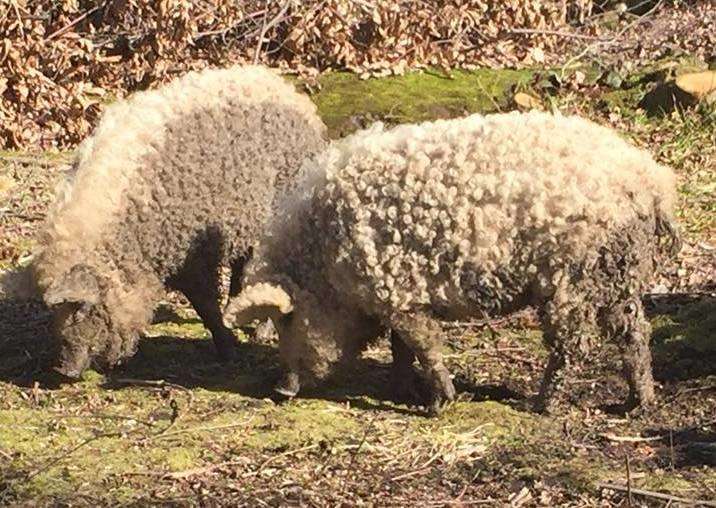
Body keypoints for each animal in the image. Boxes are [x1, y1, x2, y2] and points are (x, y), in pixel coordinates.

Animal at [21, 64, 326, 378]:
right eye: (54, 313)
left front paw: (230, 352)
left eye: (82, 308)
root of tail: (287, 91)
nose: (62, 370)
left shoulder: (194, 250)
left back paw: (261, 334)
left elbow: (205, 304)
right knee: (243, 266)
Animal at [227, 111, 680, 412]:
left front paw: (438, 404)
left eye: (286, 320)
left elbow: (424, 345)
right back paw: (639, 404)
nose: (280, 390)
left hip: (575, 277)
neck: (325, 258)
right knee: (636, 331)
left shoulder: (395, 293)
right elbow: (401, 348)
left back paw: (541, 405)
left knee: (576, 344)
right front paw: (403, 391)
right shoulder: (401, 296)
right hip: (617, 275)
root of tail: (652, 181)